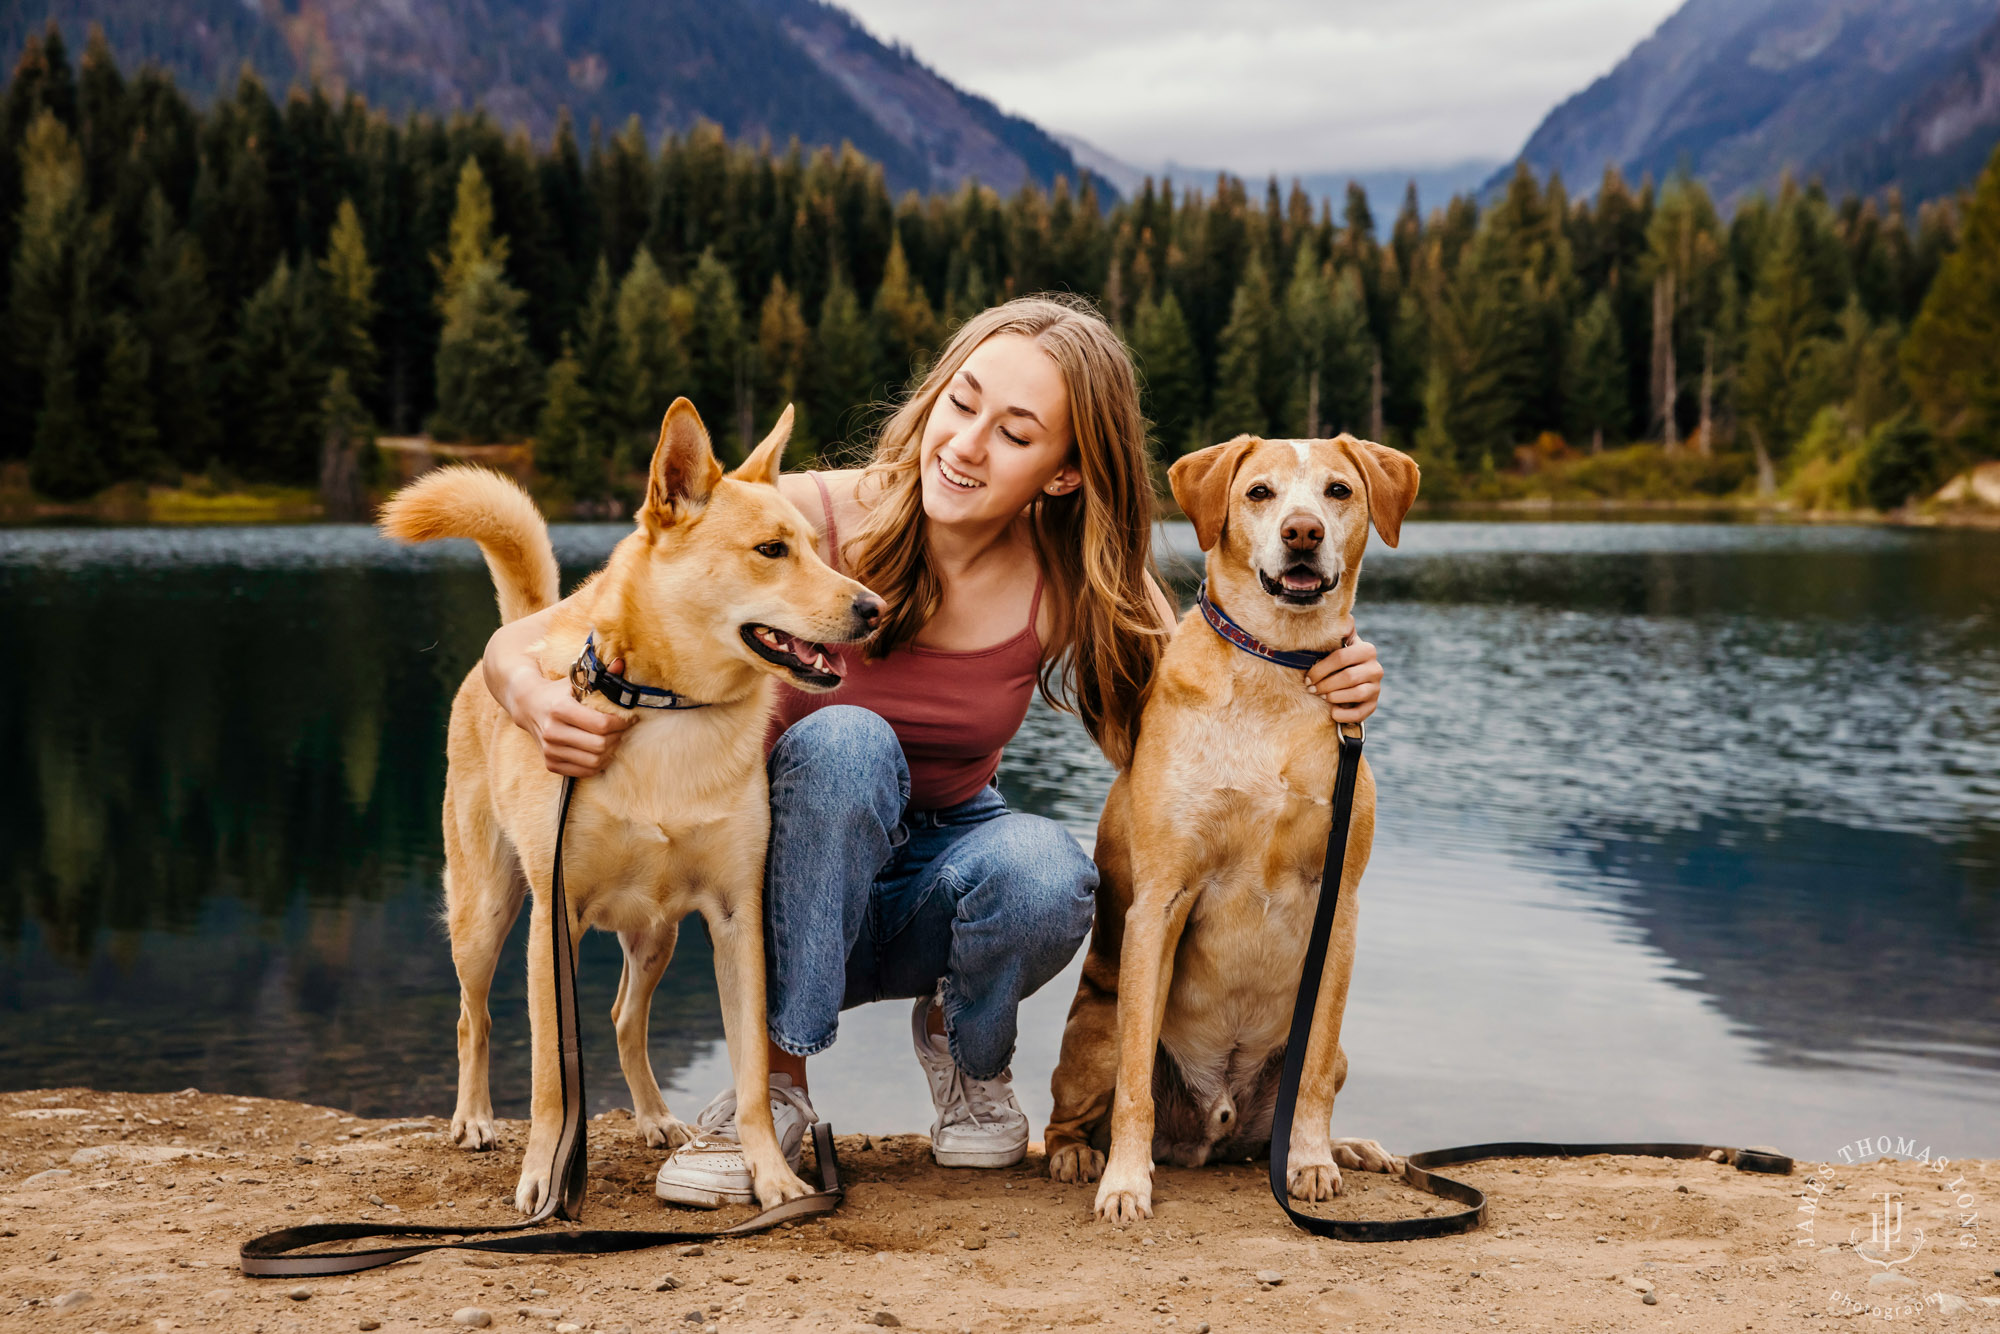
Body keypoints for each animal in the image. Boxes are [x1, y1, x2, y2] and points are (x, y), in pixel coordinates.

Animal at [378, 402, 880, 1216]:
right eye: (770, 550)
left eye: (812, 543)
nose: (875, 608)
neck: (672, 709)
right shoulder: (554, 923)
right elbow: (551, 1080)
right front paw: (546, 1177)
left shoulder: (737, 918)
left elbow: (750, 1075)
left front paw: (772, 1177)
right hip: (486, 915)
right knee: (471, 1017)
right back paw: (475, 1118)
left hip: (656, 936)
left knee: (622, 1019)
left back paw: (653, 1118)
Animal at [1048, 434, 1424, 1224]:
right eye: (1259, 493)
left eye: (1339, 490)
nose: (1302, 533)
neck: (1276, 667)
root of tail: (1215, 1127)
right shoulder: (1160, 901)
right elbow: (1134, 1089)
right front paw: (1124, 1183)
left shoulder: (1339, 904)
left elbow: (1311, 1075)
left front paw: (1311, 1160)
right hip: (1097, 1029)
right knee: (1076, 1112)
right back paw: (1078, 1156)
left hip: (1329, 1054)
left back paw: (1350, 1148)